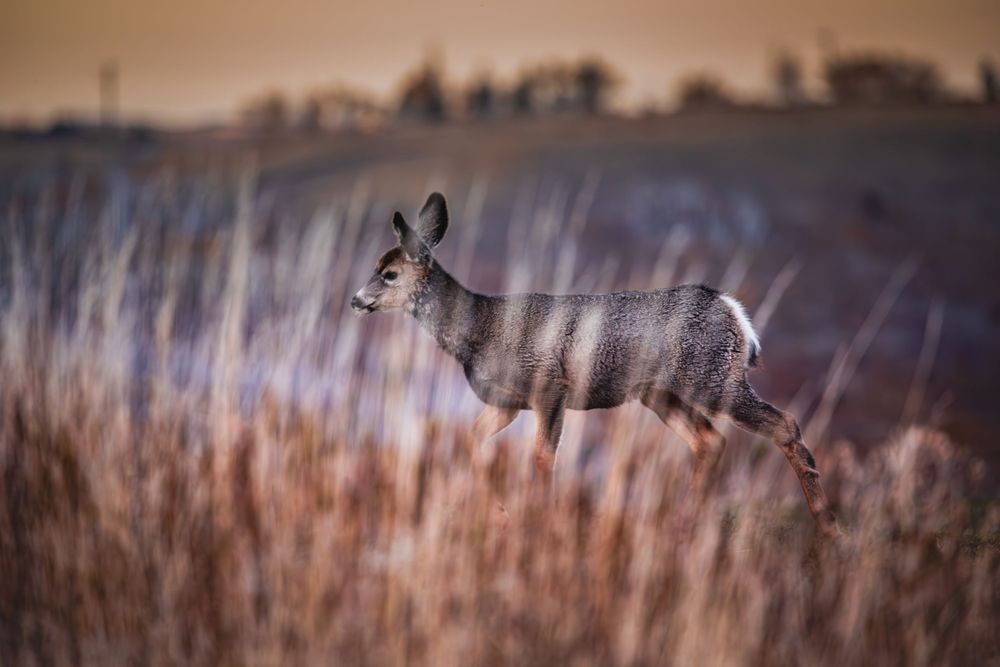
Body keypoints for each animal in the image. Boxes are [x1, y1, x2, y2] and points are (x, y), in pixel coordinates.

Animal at [351, 192, 840, 537]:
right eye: (375, 266)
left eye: (389, 274)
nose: (356, 300)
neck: (479, 329)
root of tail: (733, 311)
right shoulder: (507, 403)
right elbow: (471, 441)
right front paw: (503, 515)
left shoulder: (550, 386)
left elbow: (543, 456)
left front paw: (542, 520)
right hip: (661, 393)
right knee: (710, 441)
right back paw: (685, 520)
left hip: (714, 378)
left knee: (783, 424)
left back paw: (828, 525)